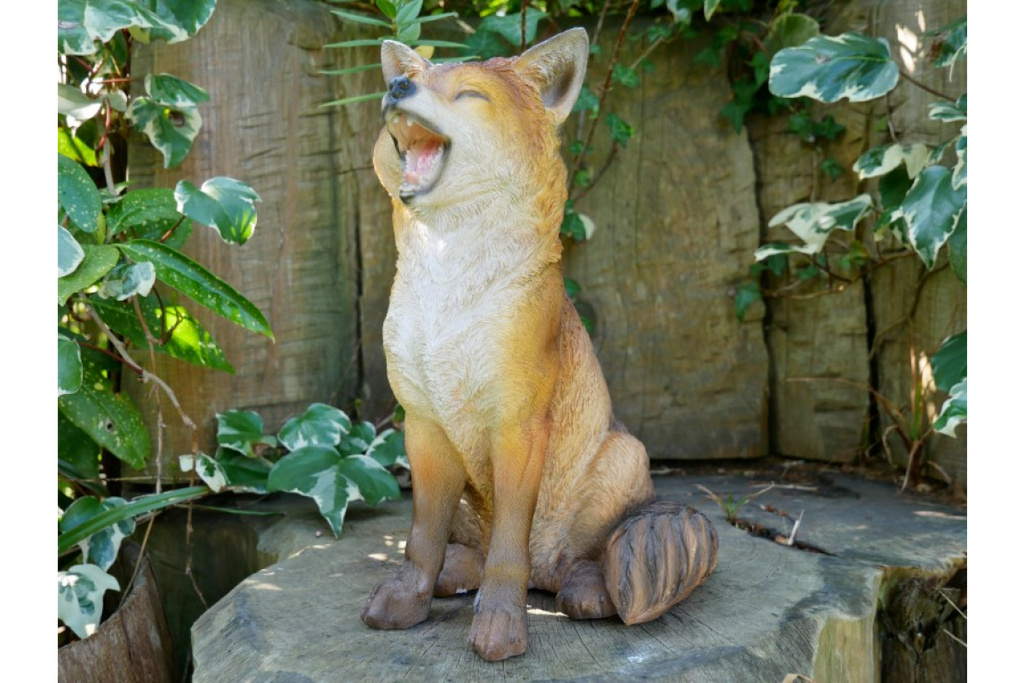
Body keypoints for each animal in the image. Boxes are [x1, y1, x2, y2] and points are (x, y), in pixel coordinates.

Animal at [360, 27, 719, 662]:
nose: (397, 85)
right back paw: (457, 573)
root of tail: (547, 573)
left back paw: (587, 589)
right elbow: (419, 539)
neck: (449, 284)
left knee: (579, 558)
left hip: (622, 460)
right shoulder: (423, 424)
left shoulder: (520, 424)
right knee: (476, 552)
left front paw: (501, 627)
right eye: (411, 80)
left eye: (469, 95)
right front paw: (407, 601)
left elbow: (510, 547)